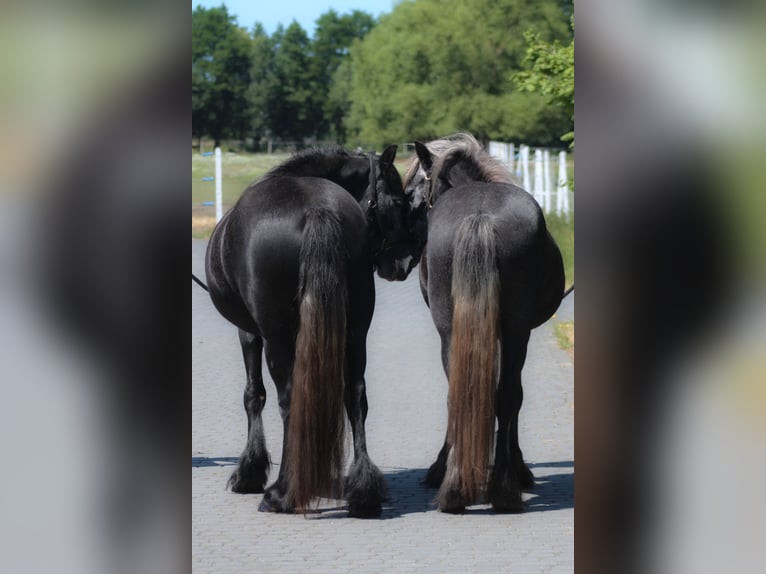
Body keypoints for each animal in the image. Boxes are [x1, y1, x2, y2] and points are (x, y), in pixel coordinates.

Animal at [204, 145, 419, 517]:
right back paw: (363, 492)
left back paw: (281, 493)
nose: (406, 261)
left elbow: (253, 395)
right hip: (356, 330)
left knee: (289, 400)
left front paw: (249, 473)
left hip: (277, 338)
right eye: (397, 200)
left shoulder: (249, 333)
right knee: (356, 396)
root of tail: (316, 209)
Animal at [402, 134, 565, 513]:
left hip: (454, 331)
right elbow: (510, 397)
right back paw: (497, 487)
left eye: (412, 193)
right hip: (514, 331)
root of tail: (481, 216)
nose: (399, 258)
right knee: (503, 394)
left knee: (463, 391)